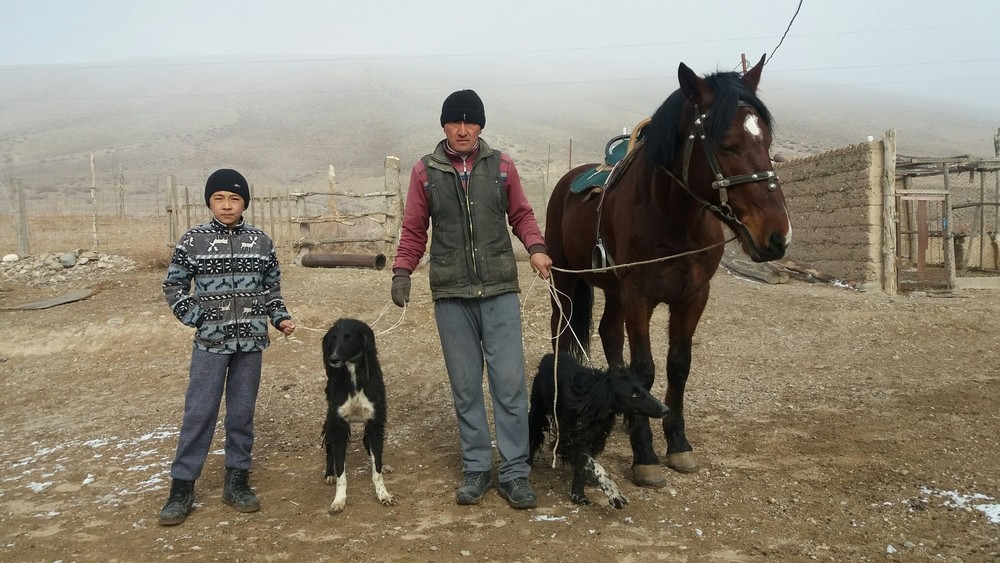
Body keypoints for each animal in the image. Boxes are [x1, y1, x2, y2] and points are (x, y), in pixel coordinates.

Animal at [321, 318, 395, 513]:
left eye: (349, 337)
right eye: (333, 338)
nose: (333, 359)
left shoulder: (375, 424)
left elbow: (376, 469)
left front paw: (383, 494)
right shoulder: (338, 426)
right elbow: (341, 472)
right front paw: (338, 500)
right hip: (330, 419)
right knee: (329, 447)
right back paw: (329, 473)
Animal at [528, 353, 669, 508]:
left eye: (644, 390)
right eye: (634, 395)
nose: (666, 410)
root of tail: (550, 355)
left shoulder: (594, 438)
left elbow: (584, 466)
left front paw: (578, 495)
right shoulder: (568, 441)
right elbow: (594, 465)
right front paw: (613, 493)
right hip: (537, 412)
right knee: (532, 436)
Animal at [544, 55, 791, 488]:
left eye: (766, 143)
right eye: (725, 144)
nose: (776, 236)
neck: (674, 218)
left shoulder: (693, 295)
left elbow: (678, 365)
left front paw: (677, 444)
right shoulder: (639, 296)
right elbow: (645, 369)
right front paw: (645, 455)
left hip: (614, 292)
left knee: (609, 334)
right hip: (567, 282)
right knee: (563, 335)